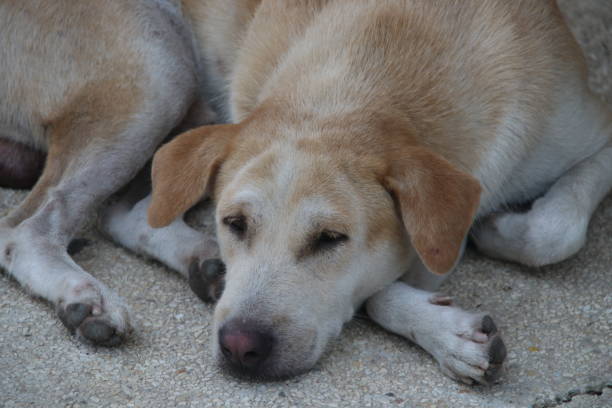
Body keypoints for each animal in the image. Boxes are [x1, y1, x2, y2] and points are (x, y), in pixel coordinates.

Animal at [0, 0, 608, 386]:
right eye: (235, 223)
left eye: (331, 239)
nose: (239, 347)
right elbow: (380, 285)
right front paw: (445, 330)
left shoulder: (597, 128)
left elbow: (554, 230)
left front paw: (496, 228)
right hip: (158, 69)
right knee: (26, 227)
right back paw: (84, 295)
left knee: (125, 212)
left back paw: (200, 261)